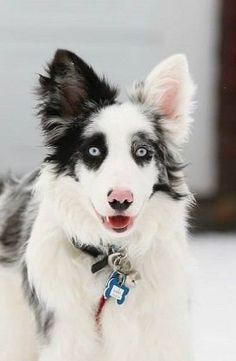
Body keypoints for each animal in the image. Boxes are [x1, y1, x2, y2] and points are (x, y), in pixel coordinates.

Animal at [0, 48, 195, 360]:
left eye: (143, 151)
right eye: (93, 150)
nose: (120, 200)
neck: (112, 259)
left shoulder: (162, 332)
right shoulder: (65, 334)